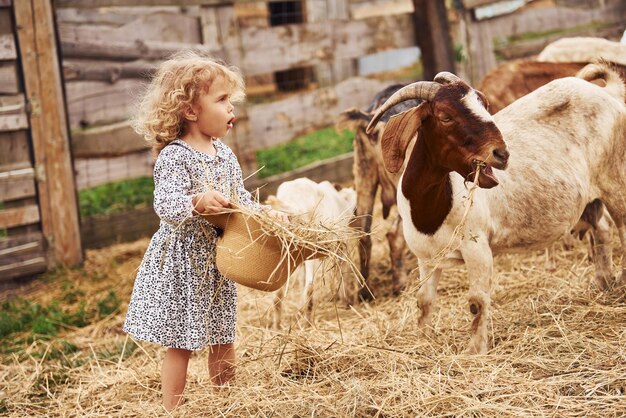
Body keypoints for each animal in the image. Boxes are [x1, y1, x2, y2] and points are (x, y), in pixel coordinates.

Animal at [266, 178, 356, 328]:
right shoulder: (342, 247)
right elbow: (342, 272)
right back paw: (307, 322)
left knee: (278, 294)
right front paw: (345, 301)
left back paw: (277, 326)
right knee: (309, 287)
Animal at [366, 63, 624, 354]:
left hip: (615, 179)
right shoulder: (426, 257)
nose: (502, 153)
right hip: (590, 199)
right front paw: (422, 342)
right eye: (445, 116)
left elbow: (476, 302)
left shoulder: (477, 249)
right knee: (602, 229)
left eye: (484, 104)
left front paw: (475, 352)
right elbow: (423, 301)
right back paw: (604, 282)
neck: (435, 208)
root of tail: (608, 92)